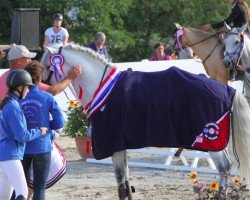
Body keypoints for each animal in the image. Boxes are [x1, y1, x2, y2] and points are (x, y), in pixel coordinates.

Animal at [41, 43, 250, 199]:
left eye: (46, 66)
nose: (39, 85)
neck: (103, 87)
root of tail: (228, 90)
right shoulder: (121, 145)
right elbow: (125, 184)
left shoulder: (114, 145)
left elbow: (120, 181)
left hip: (211, 140)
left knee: (223, 168)